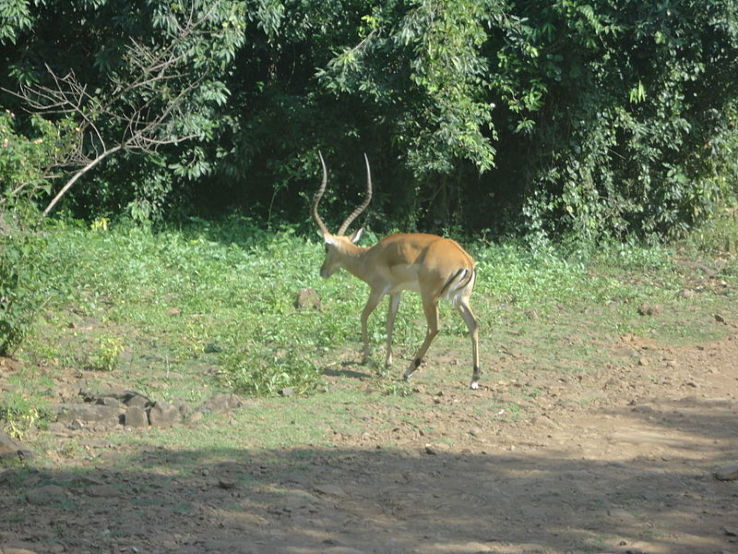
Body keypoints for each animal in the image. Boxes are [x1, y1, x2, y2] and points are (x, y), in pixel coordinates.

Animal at [312, 153, 481, 389]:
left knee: (434, 328)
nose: (323, 271)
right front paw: (387, 363)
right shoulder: (396, 292)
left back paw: (409, 371)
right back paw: (474, 378)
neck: (369, 256)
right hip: (460, 299)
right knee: (473, 325)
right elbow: (389, 321)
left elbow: (364, 315)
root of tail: (465, 261)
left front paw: (366, 358)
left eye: (327, 247)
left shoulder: (377, 290)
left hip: (430, 298)